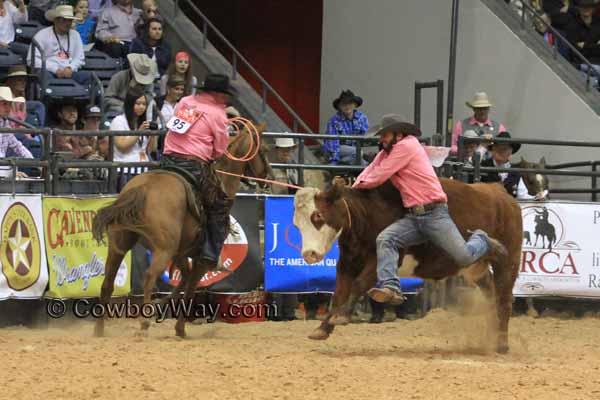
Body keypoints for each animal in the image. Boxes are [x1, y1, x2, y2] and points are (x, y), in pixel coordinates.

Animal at [92, 122, 272, 338]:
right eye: (264, 150)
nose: (268, 177)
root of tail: (142, 189)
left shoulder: (181, 254)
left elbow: (183, 280)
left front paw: (161, 307)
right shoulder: (201, 261)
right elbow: (190, 288)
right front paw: (179, 327)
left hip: (119, 244)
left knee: (107, 283)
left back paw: (99, 330)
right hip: (163, 250)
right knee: (149, 276)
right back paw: (144, 322)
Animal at [292, 178, 524, 354]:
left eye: (317, 216)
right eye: (296, 224)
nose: (309, 254)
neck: (366, 214)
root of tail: (501, 193)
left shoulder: (381, 258)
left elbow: (358, 285)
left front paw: (340, 316)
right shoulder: (347, 263)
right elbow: (338, 293)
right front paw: (323, 328)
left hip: (509, 262)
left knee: (504, 299)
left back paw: (502, 343)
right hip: (474, 267)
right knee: (491, 293)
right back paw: (492, 335)